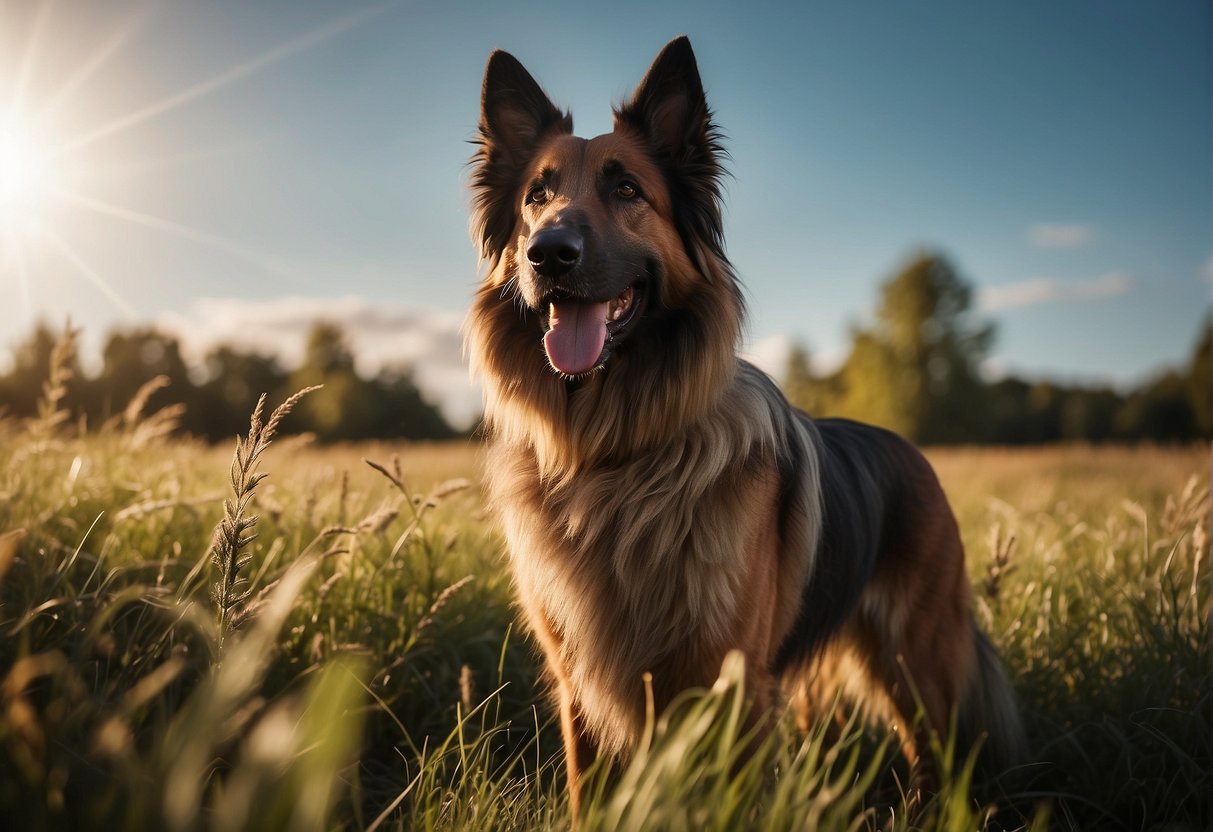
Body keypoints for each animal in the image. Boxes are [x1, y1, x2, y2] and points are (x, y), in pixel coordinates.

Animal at [463, 37, 1023, 815]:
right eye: (536, 198)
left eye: (627, 190)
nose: (549, 253)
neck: (615, 454)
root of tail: (905, 447)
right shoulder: (579, 686)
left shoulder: (730, 690)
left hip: (919, 664)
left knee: (932, 757)